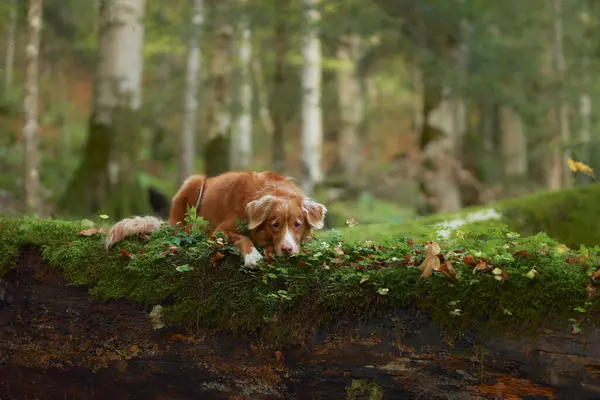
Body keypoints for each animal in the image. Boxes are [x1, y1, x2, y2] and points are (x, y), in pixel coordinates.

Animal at [104, 170, 328, 268]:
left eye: (297, 224)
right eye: (275, 225)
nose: (287, 249)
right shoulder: (221, 230)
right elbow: (242, 237)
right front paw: (252, 256)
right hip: (194, 184)